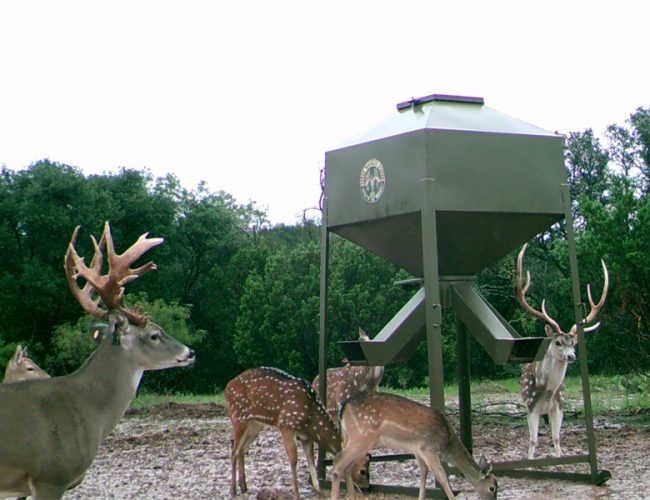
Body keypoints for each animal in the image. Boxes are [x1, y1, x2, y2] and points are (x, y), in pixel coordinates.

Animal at [225, 366, 370, 500]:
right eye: (362, 470)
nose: (366, 487)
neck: (311, 420)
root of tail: (227, 387)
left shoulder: (305, 437)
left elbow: (311, 459)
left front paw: (320, 491)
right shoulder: (286, 426)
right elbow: (294, 459)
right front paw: (296, 494)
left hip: (255, 425)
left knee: (241, 449)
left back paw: (243, 486)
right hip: (239, 417)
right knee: (234, 450)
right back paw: (233, 490)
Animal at [330, 391, 498, 500]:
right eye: (492, 488)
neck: (446, 443)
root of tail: (343, 407)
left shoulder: (417, 450)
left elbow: (423, 474)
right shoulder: (429, 448)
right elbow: (442, 476)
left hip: (357, 439)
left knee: (348, 466)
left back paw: (352, 497)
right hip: (362, 436)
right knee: (338, 462)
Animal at [516, 243, 608, 459]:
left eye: (573, 343)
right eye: (558, 342)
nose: (571, 356)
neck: (547, 392)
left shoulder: (559, 407)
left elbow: (557, 439)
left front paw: (559, 457)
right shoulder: (530, 407)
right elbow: (532, 441)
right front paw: (530, 460)